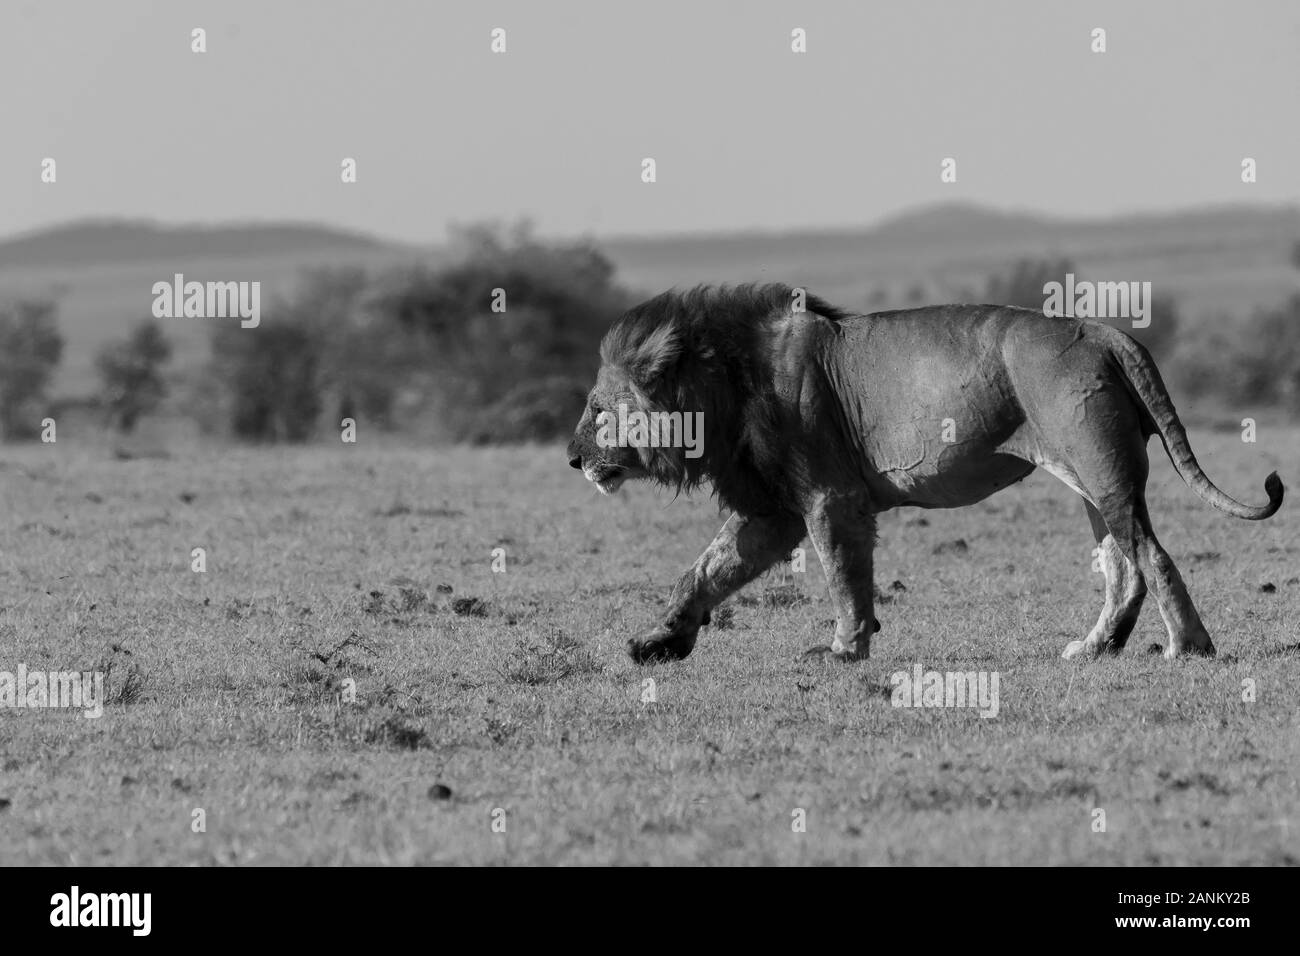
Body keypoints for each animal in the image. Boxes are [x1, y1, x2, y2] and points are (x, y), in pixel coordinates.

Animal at [566, 284, 1284, 664]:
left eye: (598, 409)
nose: (572, 459)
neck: (724, 383)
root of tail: (1104, 331)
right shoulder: (770, 511)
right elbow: (704, 571)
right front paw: (658, 640)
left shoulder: (830, 496)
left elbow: (844, 576)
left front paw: (844, 650)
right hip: (1091, 479)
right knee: (1122, 565)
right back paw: (1094, 648)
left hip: (1101, 470)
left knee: (1152, 557)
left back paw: (1188, 647)